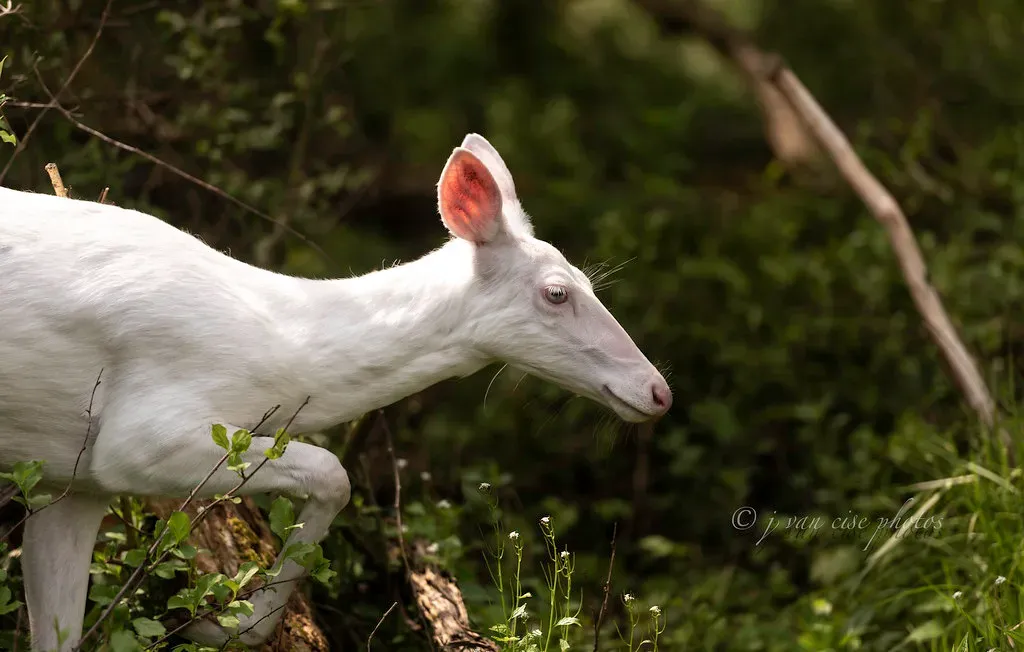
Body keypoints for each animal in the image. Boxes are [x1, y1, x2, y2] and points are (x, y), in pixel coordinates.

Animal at [0, 133, 672, 651]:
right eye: (557, 292)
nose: (658, 391)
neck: (276, 346)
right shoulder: (137, 436)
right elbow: (334, 472)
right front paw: (229, 626)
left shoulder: (75, 480)